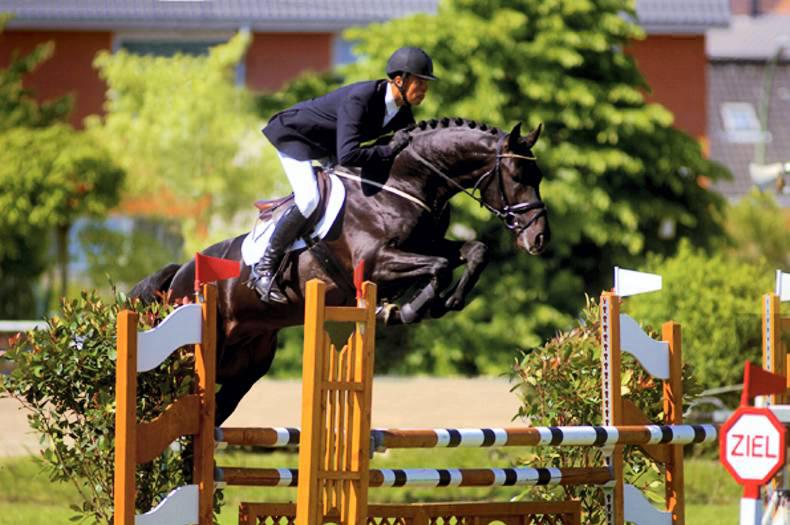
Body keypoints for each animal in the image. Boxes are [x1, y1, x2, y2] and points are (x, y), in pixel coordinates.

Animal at [130, 117, 550, 424]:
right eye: (517, 177)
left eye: (538, 177)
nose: (539, 238)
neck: (402, 184)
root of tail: (180, 274)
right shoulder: (377, 261)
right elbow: (441, 266)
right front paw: (406, 309)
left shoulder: (424, 245)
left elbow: (473, 251)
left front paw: (446, 302)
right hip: (191, 356)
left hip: (244, 367)